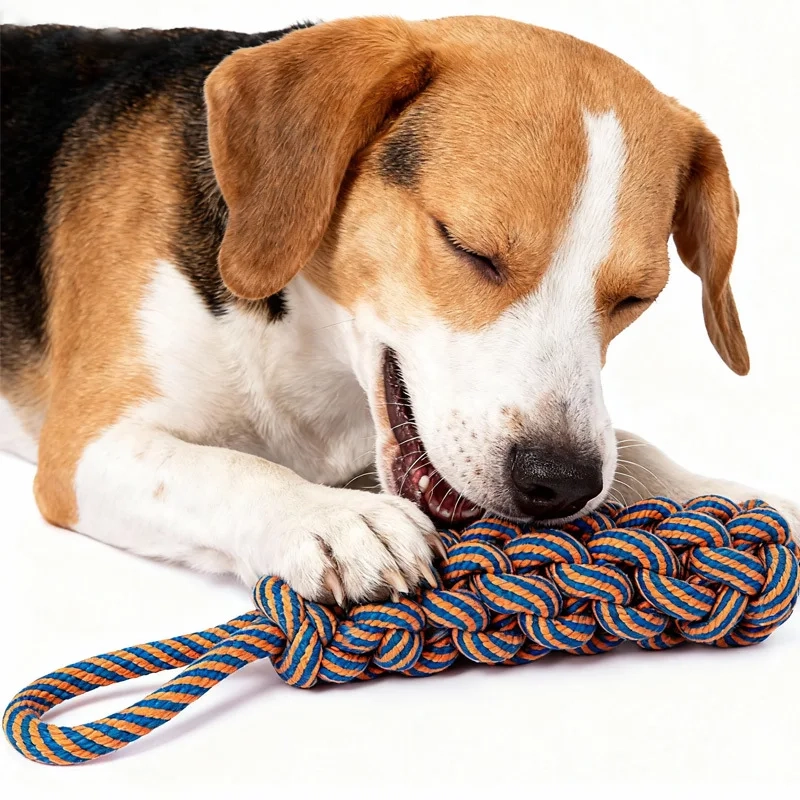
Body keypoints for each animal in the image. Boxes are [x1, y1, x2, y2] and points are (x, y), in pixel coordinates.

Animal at [1, 17, 797, 604]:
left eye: (635, 297)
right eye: (469, 248)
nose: (559, 482)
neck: (306, 347)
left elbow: (631, 446)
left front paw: (718, 495)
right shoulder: (82, 450)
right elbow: (227, 468)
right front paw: (332, 518)